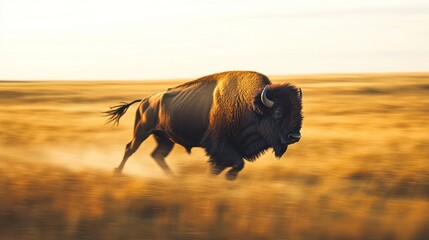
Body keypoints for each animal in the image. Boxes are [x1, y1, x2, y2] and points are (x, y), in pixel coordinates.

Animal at [103, 71, 300, 180]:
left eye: (299, 113)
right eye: (277, 113)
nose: (295, 136)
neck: (251, 106)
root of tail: (145, 100)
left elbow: (226, 165)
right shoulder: (218, 145)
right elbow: (237, 163)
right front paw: (227, 177)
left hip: (164, 138)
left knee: (158, 155)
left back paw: (174, 177)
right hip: (141, 131)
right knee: (130, 148)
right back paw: (117, 172)